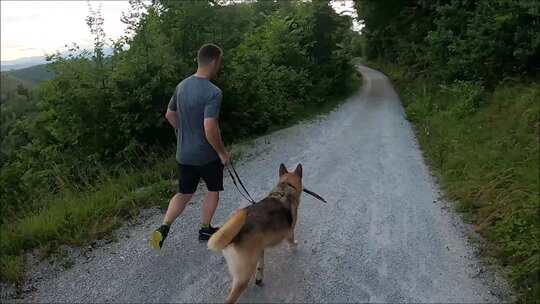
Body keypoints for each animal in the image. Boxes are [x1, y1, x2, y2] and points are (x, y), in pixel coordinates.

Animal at [208, 164, 304, 304]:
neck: (285, 187)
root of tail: (233, 237)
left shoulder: (260, 248)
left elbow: (261, 265)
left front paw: (259, 278)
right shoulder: (290, 232)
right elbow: (291, 242)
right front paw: (295, 247)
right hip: (244, 273)